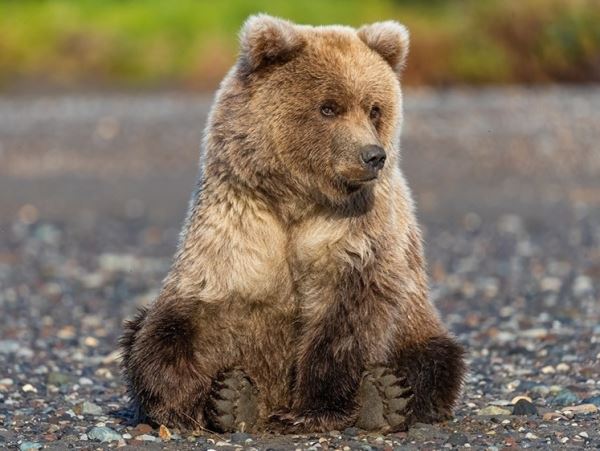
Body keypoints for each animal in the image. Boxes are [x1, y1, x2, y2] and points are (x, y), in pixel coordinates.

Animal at [120, 14, 464, 434]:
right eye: (329, 107)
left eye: (374, 108)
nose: (372, 155)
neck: (296, 200)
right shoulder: (238, 226)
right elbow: (177, 325)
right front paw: (189, 401)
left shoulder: (357, 235)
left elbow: (347, 320)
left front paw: (315, 409)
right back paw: (238, 400)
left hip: (417, 324)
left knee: (435, 358)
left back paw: (384, 397)